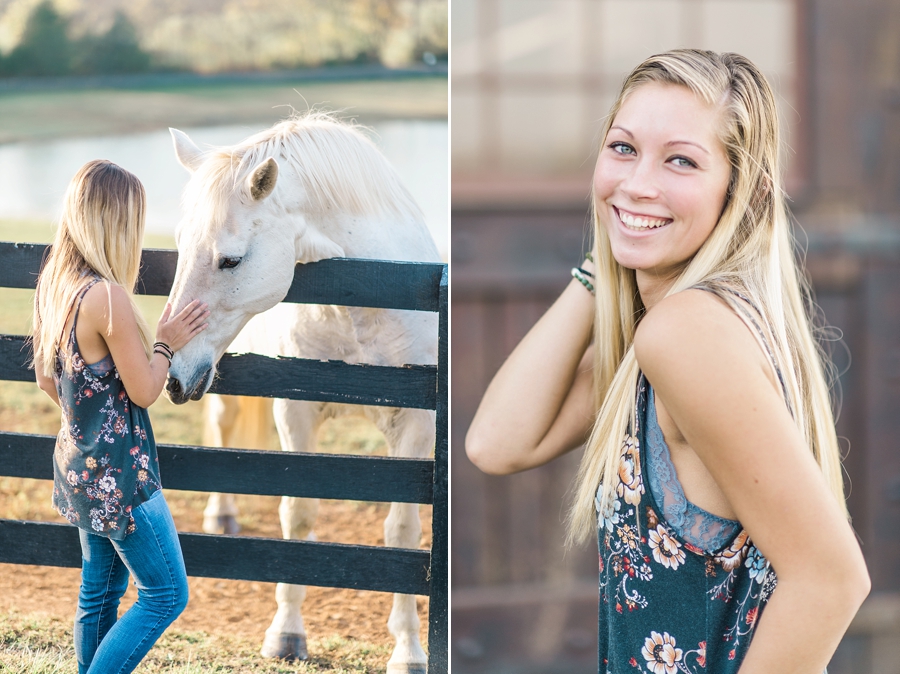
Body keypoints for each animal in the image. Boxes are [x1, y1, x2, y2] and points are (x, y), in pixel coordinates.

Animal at [164, 113, 440, 668]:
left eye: (230, 261)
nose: (173, 373)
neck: (367, 295)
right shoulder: (296, 411)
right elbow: (298, 514)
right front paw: (286, 634)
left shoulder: (416, 423)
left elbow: (402, 531)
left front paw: (408, 650)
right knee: (224, 431)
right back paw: (221, 514)